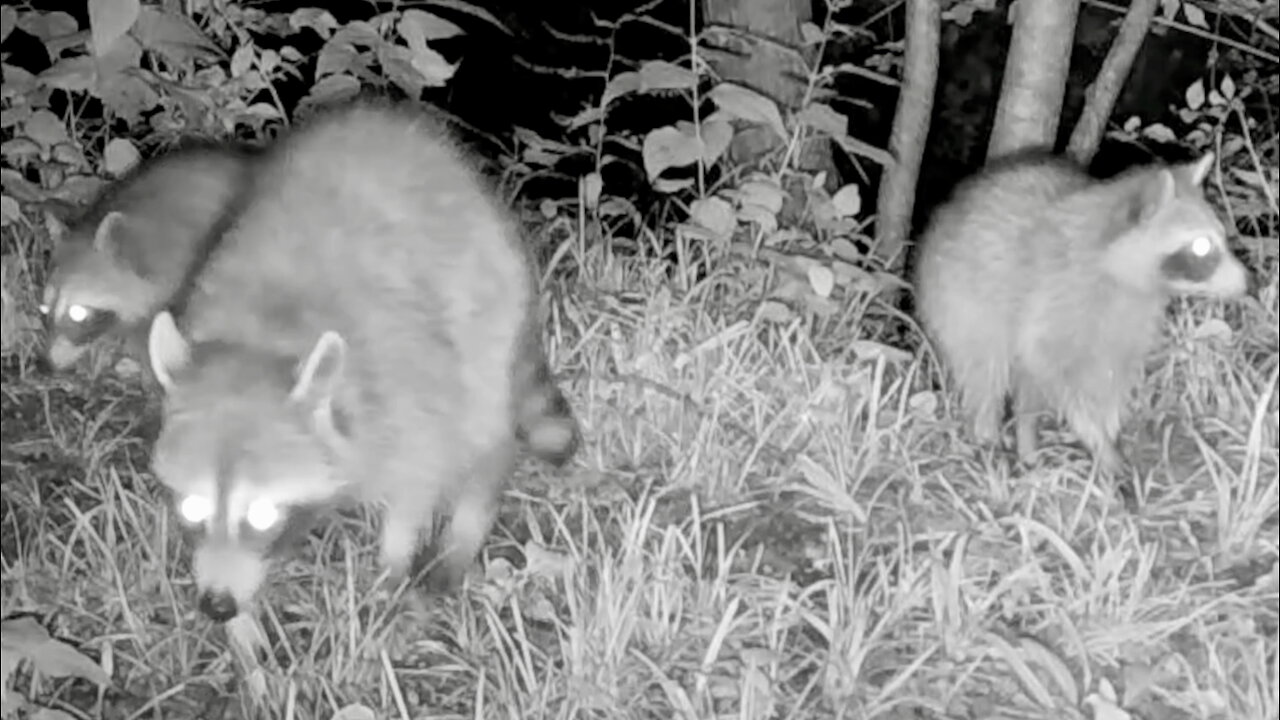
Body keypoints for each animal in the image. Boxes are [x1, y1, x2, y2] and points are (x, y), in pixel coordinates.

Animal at [145, 101, 580, 623]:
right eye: (192, 508)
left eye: (263, 515)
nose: (217, 607)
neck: (263, 341)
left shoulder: (409, 382)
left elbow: (419, 476)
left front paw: (392, 567)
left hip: (486, 302)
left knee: (485, 421)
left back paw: (466, 525)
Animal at [913, 150, 1249, 477]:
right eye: (1202, 247)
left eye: (1220, 237)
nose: (1247, 282)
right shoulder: (1060, 297)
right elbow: (1060, 374)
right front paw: (1098, 443)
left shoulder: (1129, 318)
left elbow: (1113, 376)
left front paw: (1108, 437)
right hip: (964, 301)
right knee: (985, 372)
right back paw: (987, 441)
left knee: (1026, 386)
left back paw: (1027, 442)